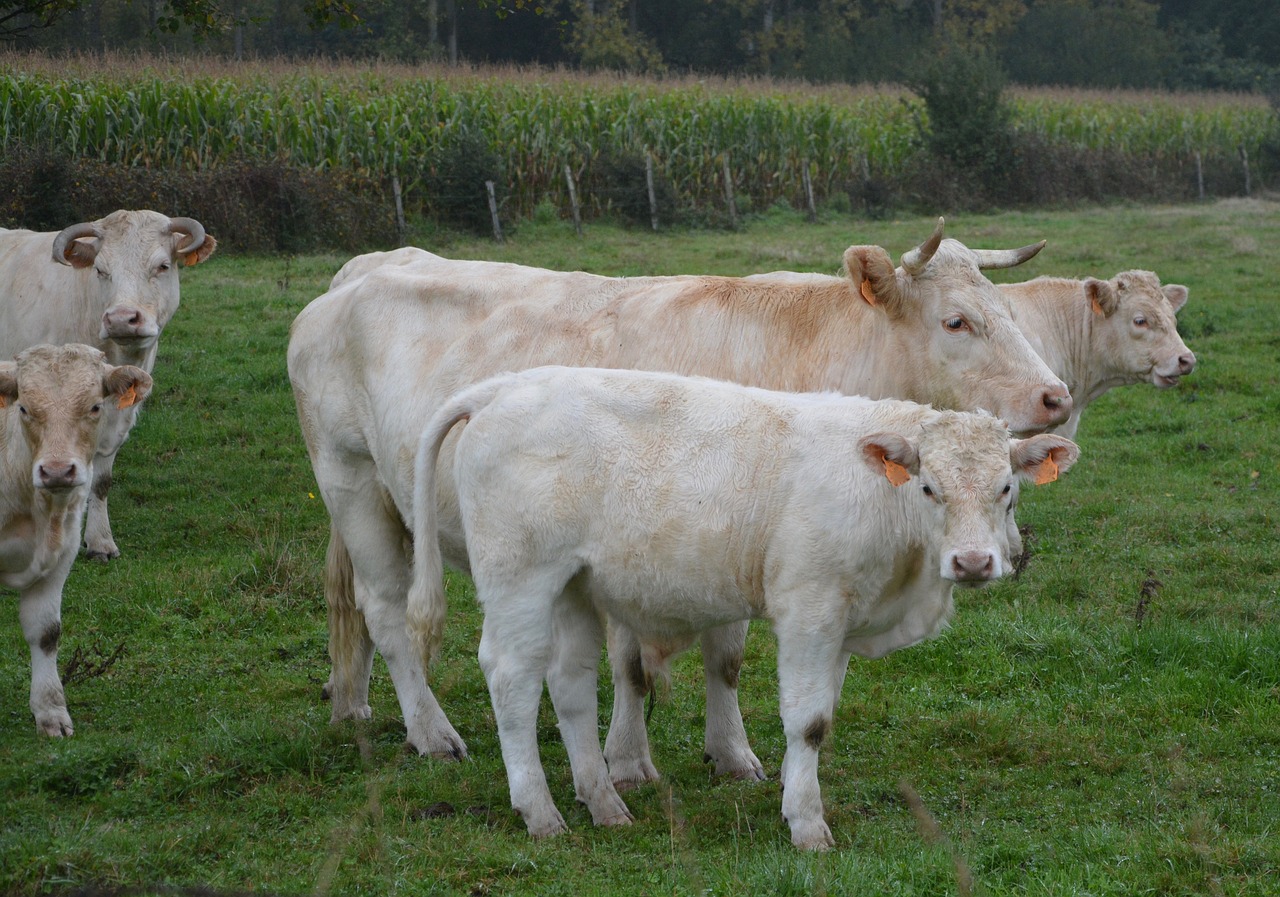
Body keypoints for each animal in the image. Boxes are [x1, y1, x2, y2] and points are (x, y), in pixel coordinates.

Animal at [0, 211, 216, 560]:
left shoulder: (113, 418)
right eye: (100, 270)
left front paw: (100, 541)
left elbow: (101, 481)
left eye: (162, 266)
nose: (121, 319)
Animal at [1, 342, 152, 737]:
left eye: (95, 406)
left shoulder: (61, 555)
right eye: (24, 407)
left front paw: (51, 712)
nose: (56, 470)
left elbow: (45, 631)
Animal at [288, 214, 1070, 767]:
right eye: (957, 320)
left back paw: (352, 702)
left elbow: (725, 655)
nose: (1056, 396)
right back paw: (431, 731)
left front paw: (732, 755)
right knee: (386, 610)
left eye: (1006, 309)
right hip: (349, 477)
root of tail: (363, 269)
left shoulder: (738, 540)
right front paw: (628, 760)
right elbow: (633, 664)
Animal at [401, 363, 1080, 844]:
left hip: (574, 585)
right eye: (929, 488)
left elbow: (822, 718)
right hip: (520, 581)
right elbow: (808, 720)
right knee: (512, 679)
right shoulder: (809, 610)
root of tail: (503, 387)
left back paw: (604, 803)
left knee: (570, 685)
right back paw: (540, 812)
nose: (973, 563)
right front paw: (806, 823)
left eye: (1007, 488)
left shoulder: (841, 621)